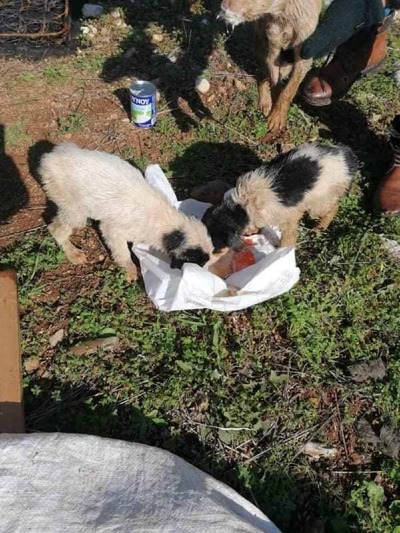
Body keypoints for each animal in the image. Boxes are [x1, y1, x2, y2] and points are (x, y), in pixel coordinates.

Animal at [39, 143, 213, 281]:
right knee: (55, 229)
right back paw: (72, 253)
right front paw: (130, 270)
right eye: (199, 261)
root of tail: (49, 157)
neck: (168, 224)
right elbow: (123, 254)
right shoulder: (112, 231)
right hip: (76, 212)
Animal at [203, 144, 358, 250]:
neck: (241, 207)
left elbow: (288, 238)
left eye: (215, 240)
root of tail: (347, 156)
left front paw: (282, 250)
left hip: (320, 202)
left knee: (333, 207)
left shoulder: (289, 218)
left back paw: (319, 228)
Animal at [218, 0, 322, 133]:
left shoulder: (305, 55)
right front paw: (274, 106)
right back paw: (265, 102)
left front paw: (277, 116)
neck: (283, 13)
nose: (223, 6)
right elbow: (275, 82)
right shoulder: (273, 45)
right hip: (261, 43)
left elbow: (289, 89)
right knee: (263, 76)